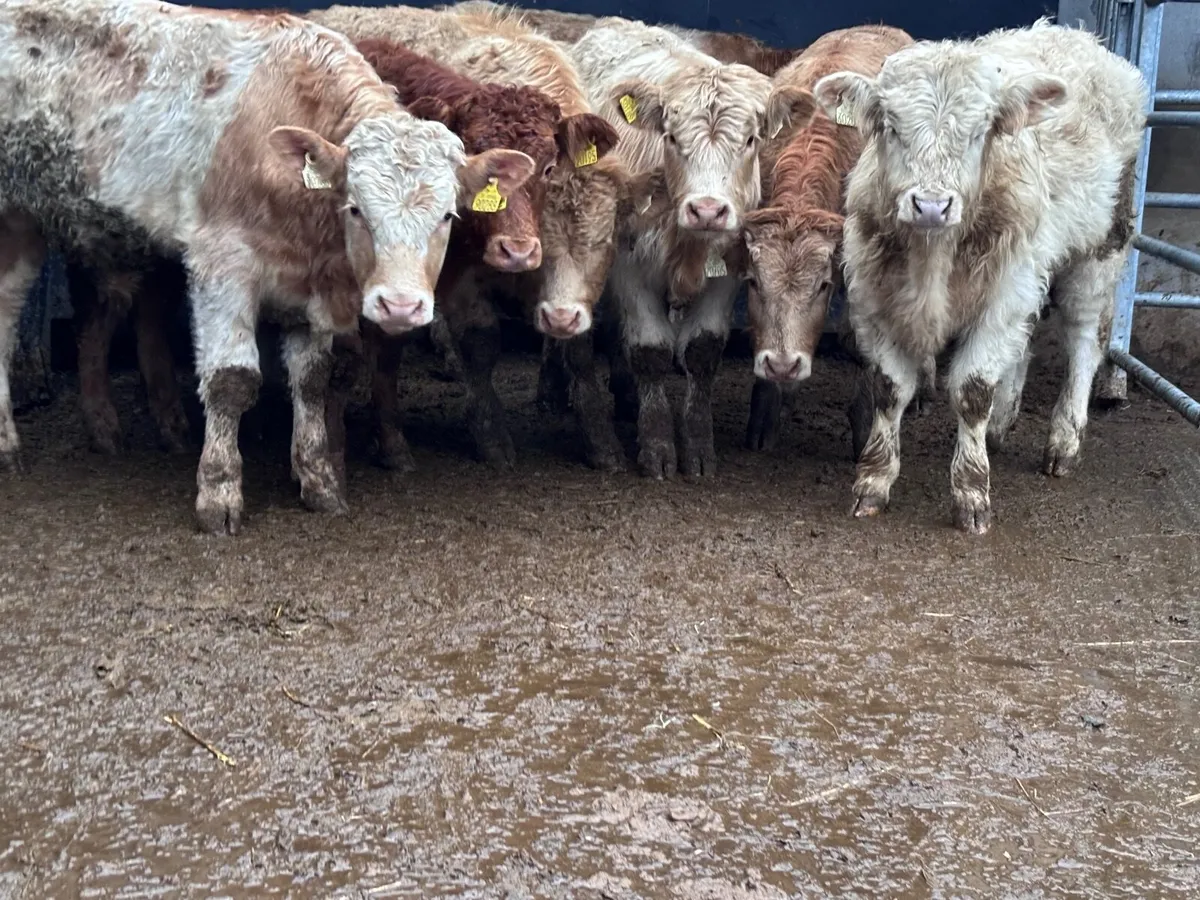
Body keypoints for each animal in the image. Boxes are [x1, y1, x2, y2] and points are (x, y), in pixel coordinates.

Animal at [0, 0, 534, 534]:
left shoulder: (312, 288)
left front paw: (319, 483)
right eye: (356, 209)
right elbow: (231, 381)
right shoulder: (221, 263)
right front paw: (218, 494)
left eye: (447, 215)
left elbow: (313, 379)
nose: (399, 306)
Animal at [311, 3, 642, 472]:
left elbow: (578, 347)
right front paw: (491, 435)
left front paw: (601, 440)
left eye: (547, 168)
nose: (518, 251)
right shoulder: (462, 277)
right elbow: (481, 341)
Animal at [568, 17, 813, 478]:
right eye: (671, 137)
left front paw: (698, 446)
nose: (708, 210)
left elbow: (703, 349)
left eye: (751, 139)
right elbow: (650, 350)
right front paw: (658, 446)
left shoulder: (729, 270)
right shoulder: (630, 266)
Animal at [813, 20, 1146, 533]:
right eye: (892, 126)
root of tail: (1077, 35)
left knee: (1085, 339)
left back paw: (1064, 439)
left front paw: (971, 492)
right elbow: (890, 389)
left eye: (979, 131)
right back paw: (1003, 421)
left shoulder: (1001, 299)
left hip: (1099, 249)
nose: (931, 205)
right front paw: (874, 480)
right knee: (1027, 339)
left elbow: (971, 391)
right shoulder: (875, 296)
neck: (932, 257)